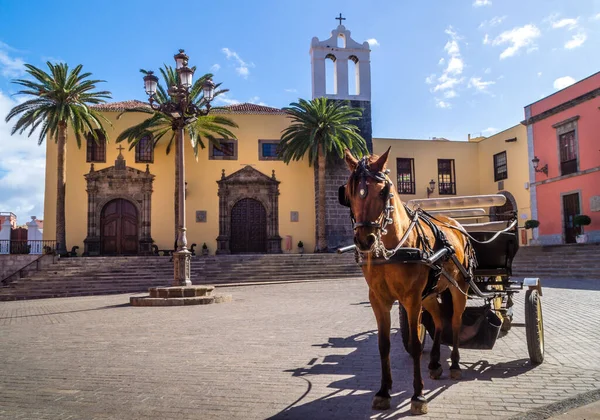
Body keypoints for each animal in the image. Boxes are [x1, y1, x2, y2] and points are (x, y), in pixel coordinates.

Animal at [342, 147, 474, 414]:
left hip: (459, 287)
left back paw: (454, 365)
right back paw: (434, 364)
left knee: (455, 321)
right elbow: (383, 345)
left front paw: (418, 395)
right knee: (439, 320)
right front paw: (383, 392)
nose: (365, 240)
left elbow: (414, 344)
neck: (394, 249)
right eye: (349, 192)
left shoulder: (411, 299)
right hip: (431, 294)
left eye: (384, 191)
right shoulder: (378, 299)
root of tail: (455, 223)